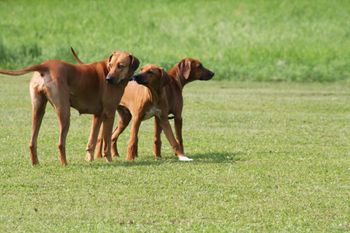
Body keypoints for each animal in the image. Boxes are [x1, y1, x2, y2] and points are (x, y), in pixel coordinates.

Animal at [0, 49, 139, 166]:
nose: (108, 79)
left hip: (38, 110)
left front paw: (89, 159)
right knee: (60, 143)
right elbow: (107, 141)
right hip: (64, 112)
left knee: (32, 142)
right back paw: (64, 163)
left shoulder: (98, 115)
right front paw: (109, 160)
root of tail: (45, 65)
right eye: (111, 65)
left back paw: (36, 163)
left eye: (121, 66)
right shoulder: (109, 113)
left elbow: (92, 140)